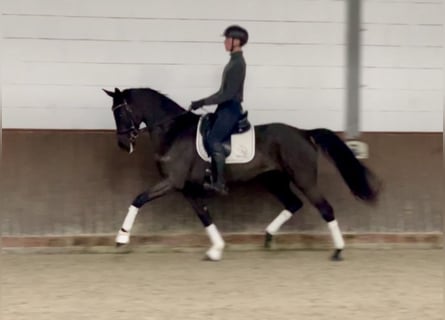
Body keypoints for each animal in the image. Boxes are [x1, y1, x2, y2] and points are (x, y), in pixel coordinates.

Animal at [103, 87, 378, 260]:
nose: (122, 144)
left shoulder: (172, 181)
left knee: (325, 209)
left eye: (120, 111)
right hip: (273, 180)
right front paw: (216, 249)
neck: (173, 130)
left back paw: (338, 251)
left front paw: (121, 238)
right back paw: (268, 237)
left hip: (304, 179)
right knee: (293, 203)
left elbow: (138, 199)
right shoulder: (187, 188)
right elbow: (205, 216)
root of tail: (303, 133)